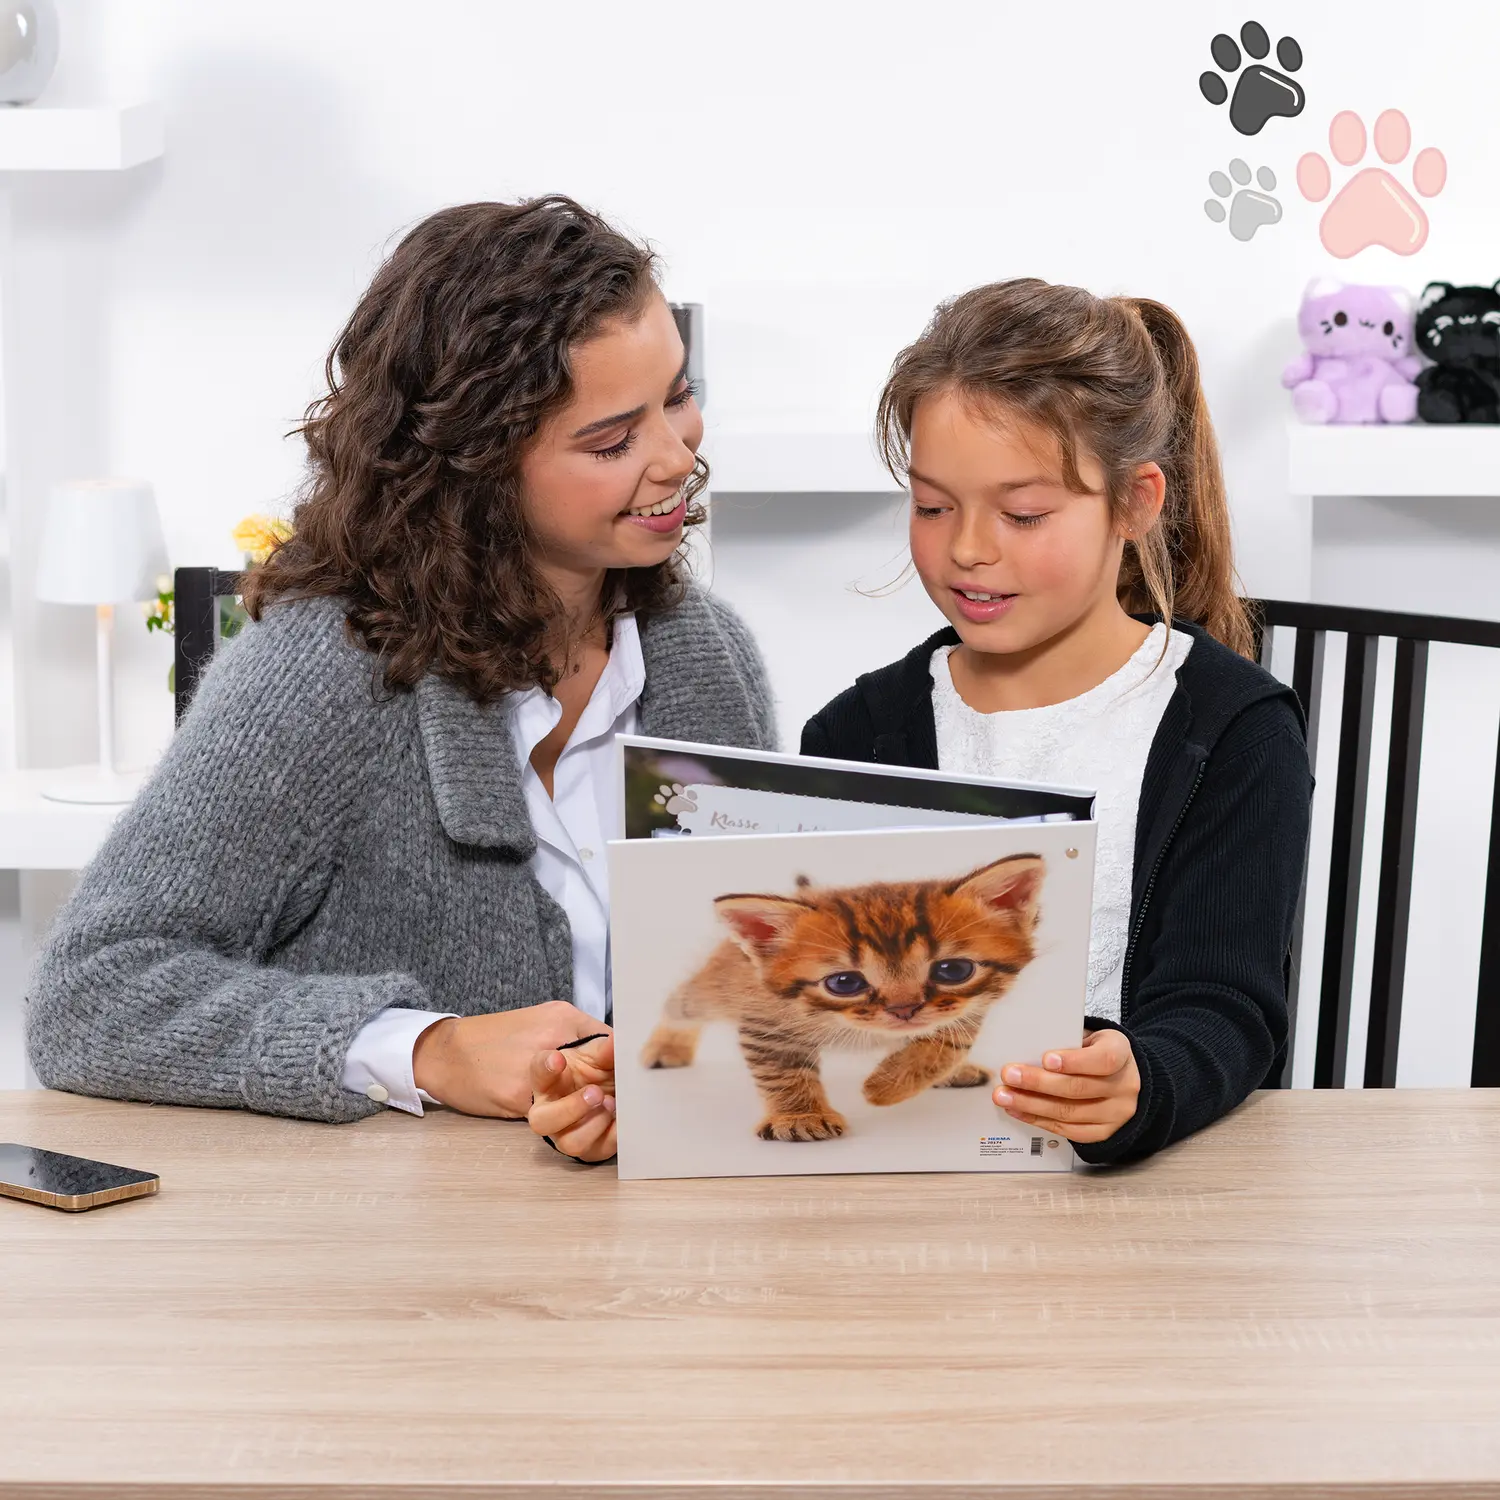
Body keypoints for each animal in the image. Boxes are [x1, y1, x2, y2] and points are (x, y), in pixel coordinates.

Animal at [639, 854, 1045, 1142]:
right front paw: (800, 1116)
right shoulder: (766, 1022)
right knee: (679, 1004)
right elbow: (783, 1072)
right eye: (844, 982)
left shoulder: (968, 1009)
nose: (904, 1010)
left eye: (953, 971)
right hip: (713, 989)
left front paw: (887, 1086)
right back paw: (667, 1047)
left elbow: (946, 1043)